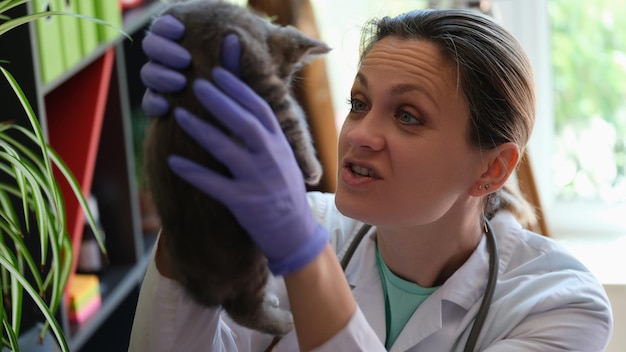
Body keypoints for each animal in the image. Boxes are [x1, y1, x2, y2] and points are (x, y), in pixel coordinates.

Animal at [141, 0, 326, 336]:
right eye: (284, 76)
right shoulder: (256, 70)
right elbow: (292, 119)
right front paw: (311, 166)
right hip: (253, 256)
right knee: (242, 311)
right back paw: (281, 321)